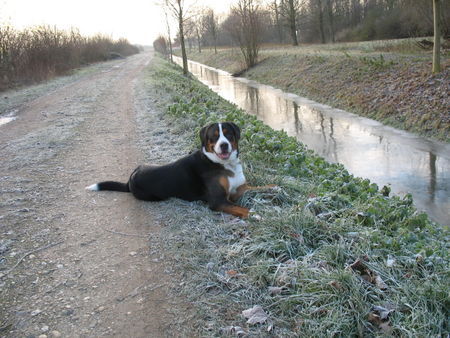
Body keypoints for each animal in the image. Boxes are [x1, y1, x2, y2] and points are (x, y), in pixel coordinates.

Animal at [86, 123, 272, 218]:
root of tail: (131, 177)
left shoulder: (237, 189)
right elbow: (242, 209)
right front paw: (258, 214)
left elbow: (257, 187)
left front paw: (274, 187)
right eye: (214, 136)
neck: (222, 164)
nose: (224, 145)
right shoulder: (218, 201)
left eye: (228, 134)